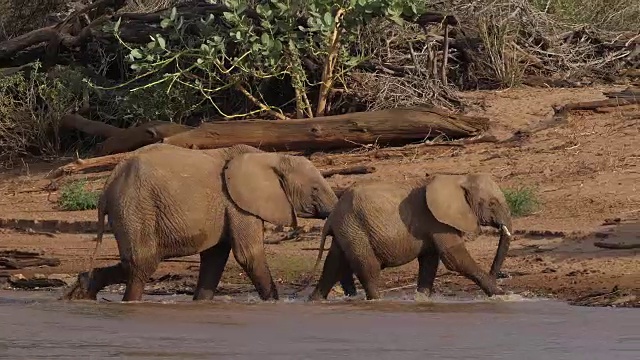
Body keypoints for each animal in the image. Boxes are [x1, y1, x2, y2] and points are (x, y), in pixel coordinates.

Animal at [62, 142, 338, 302]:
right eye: (314, 189)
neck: (272, 157)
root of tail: (109, 182)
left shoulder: (230, 206)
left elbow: (215, 257)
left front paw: (202, 304)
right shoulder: (237, 203)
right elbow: (248, 254)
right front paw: (273, 303)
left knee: (132, 263)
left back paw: (82, 291)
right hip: (135, 207)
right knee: (143, 263)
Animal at [308, 173, 512, 300]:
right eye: (492, 203)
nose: (498, 275)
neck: (458, 179)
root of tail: (332, 216)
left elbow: (430, 262)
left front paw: (421, 299)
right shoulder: (438, 221)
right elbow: (454, 258)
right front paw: (502, 295)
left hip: (346, 229)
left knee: (333, 265)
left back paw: (314, 300)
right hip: (354, 226)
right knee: (368, 267)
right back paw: (377, 300)